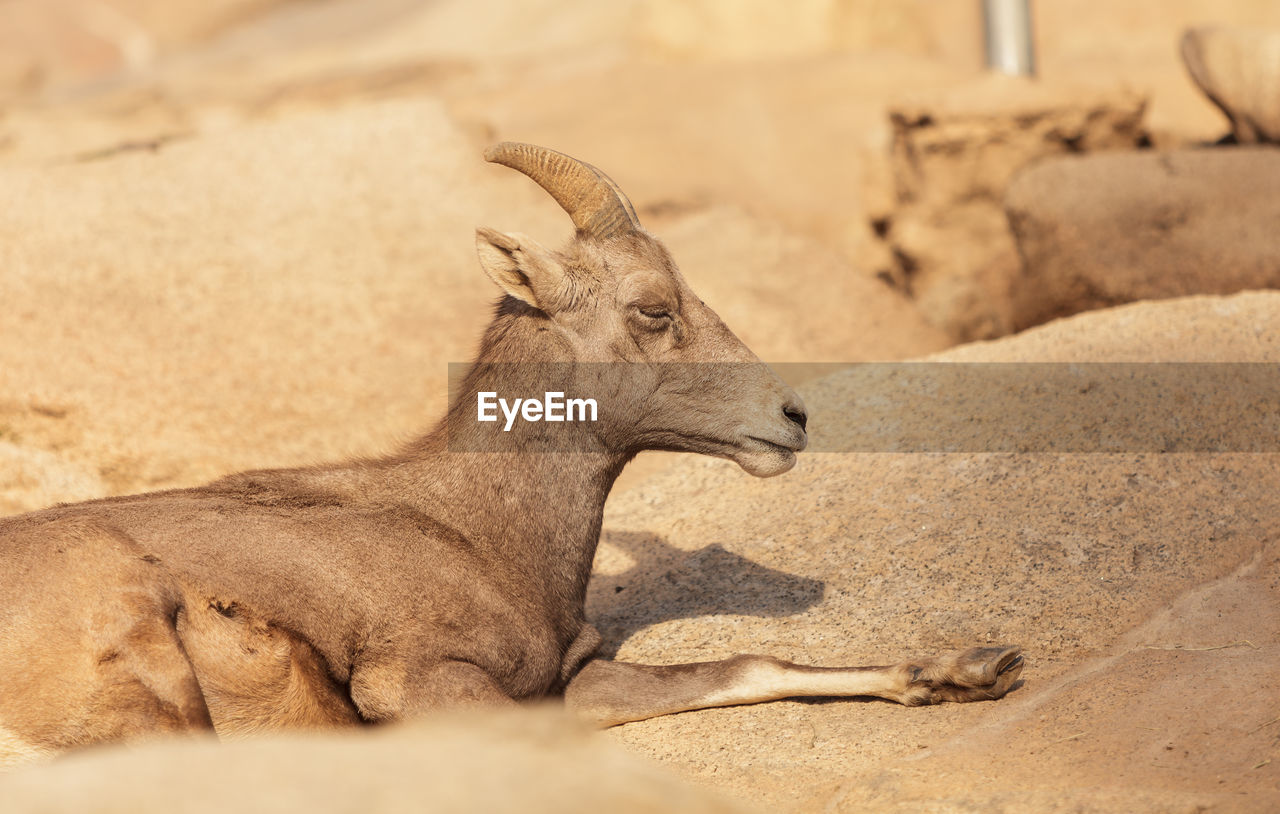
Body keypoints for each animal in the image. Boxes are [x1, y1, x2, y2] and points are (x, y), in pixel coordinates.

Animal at [0, 141, 1018, 762]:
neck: (481, 532)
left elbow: (746, 667)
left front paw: (969, 671)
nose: (792, 418)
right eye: (653, 308)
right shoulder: (430, 687)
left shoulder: (580, 679)